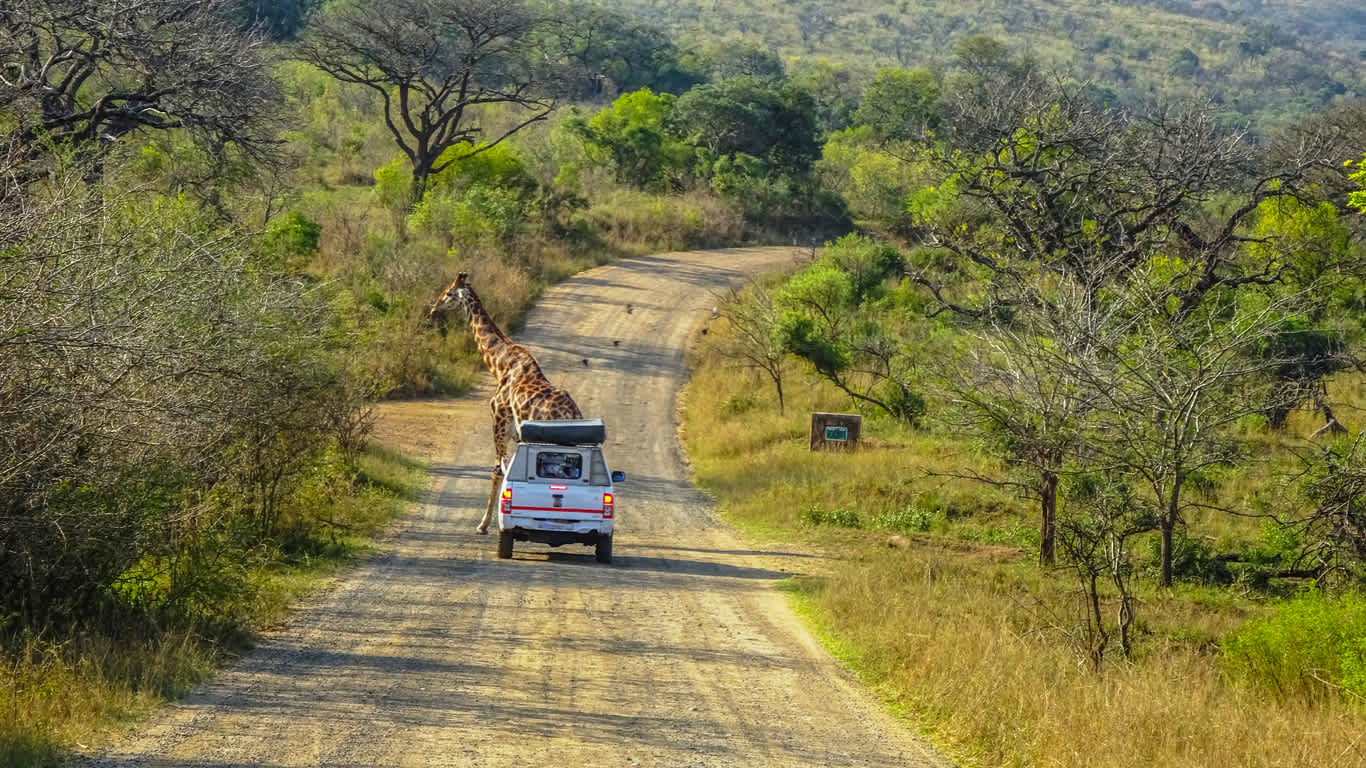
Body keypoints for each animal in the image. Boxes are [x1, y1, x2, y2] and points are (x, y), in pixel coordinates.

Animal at [423, 271, 579, 530]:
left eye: (448, 292)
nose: (434, 308)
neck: (500, 364)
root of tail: (573, 414)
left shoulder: (499, 423)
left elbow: (498, 471)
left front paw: (484, 524)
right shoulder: (515, 435)